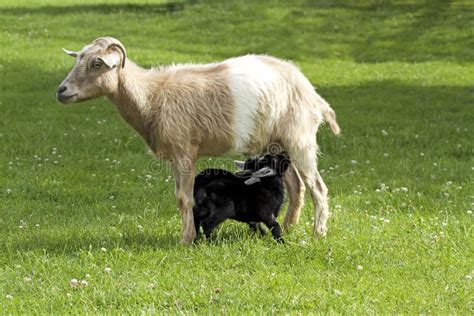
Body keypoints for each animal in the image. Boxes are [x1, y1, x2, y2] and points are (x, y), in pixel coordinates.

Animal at [57, 37, 338, 244]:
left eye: (97, 64)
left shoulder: (184, 151)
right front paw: (190, 235)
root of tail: (312, 93)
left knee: (317, 187)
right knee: (296, 186)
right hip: (277, 144)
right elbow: (178, 196)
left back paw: (318, 234)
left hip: (300, 138)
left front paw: (186, 239)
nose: (61, 91)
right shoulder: (174, 156)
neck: (152, 96)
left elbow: (184, 198)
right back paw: (290, 227)